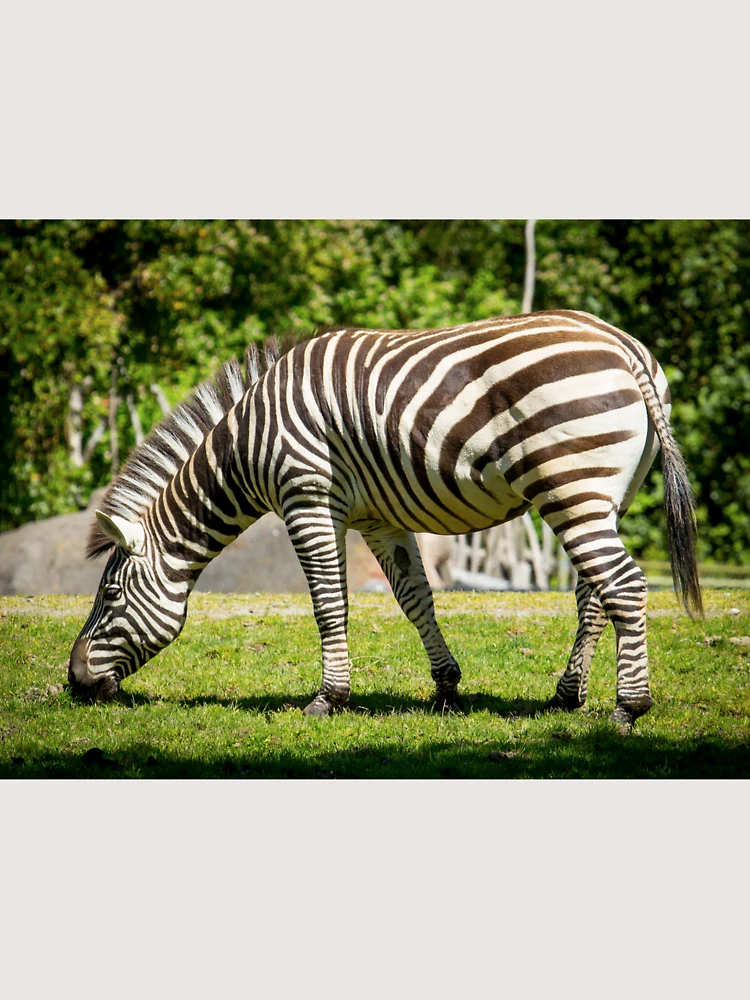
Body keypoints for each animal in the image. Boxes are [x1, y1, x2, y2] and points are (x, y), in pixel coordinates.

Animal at [67, 310, 702, 729]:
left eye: (111, 595)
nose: (73, 682)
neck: (245, 447)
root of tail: (624, 345)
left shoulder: (308, 497)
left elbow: (329, 603)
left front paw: (328, 699)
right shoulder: (378, 518)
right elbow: (414, 598)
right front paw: (446, 689)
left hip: (571, 484)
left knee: (625, 585)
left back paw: (627, 708)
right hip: (600, 493)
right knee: (594, 592)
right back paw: (567, 696)